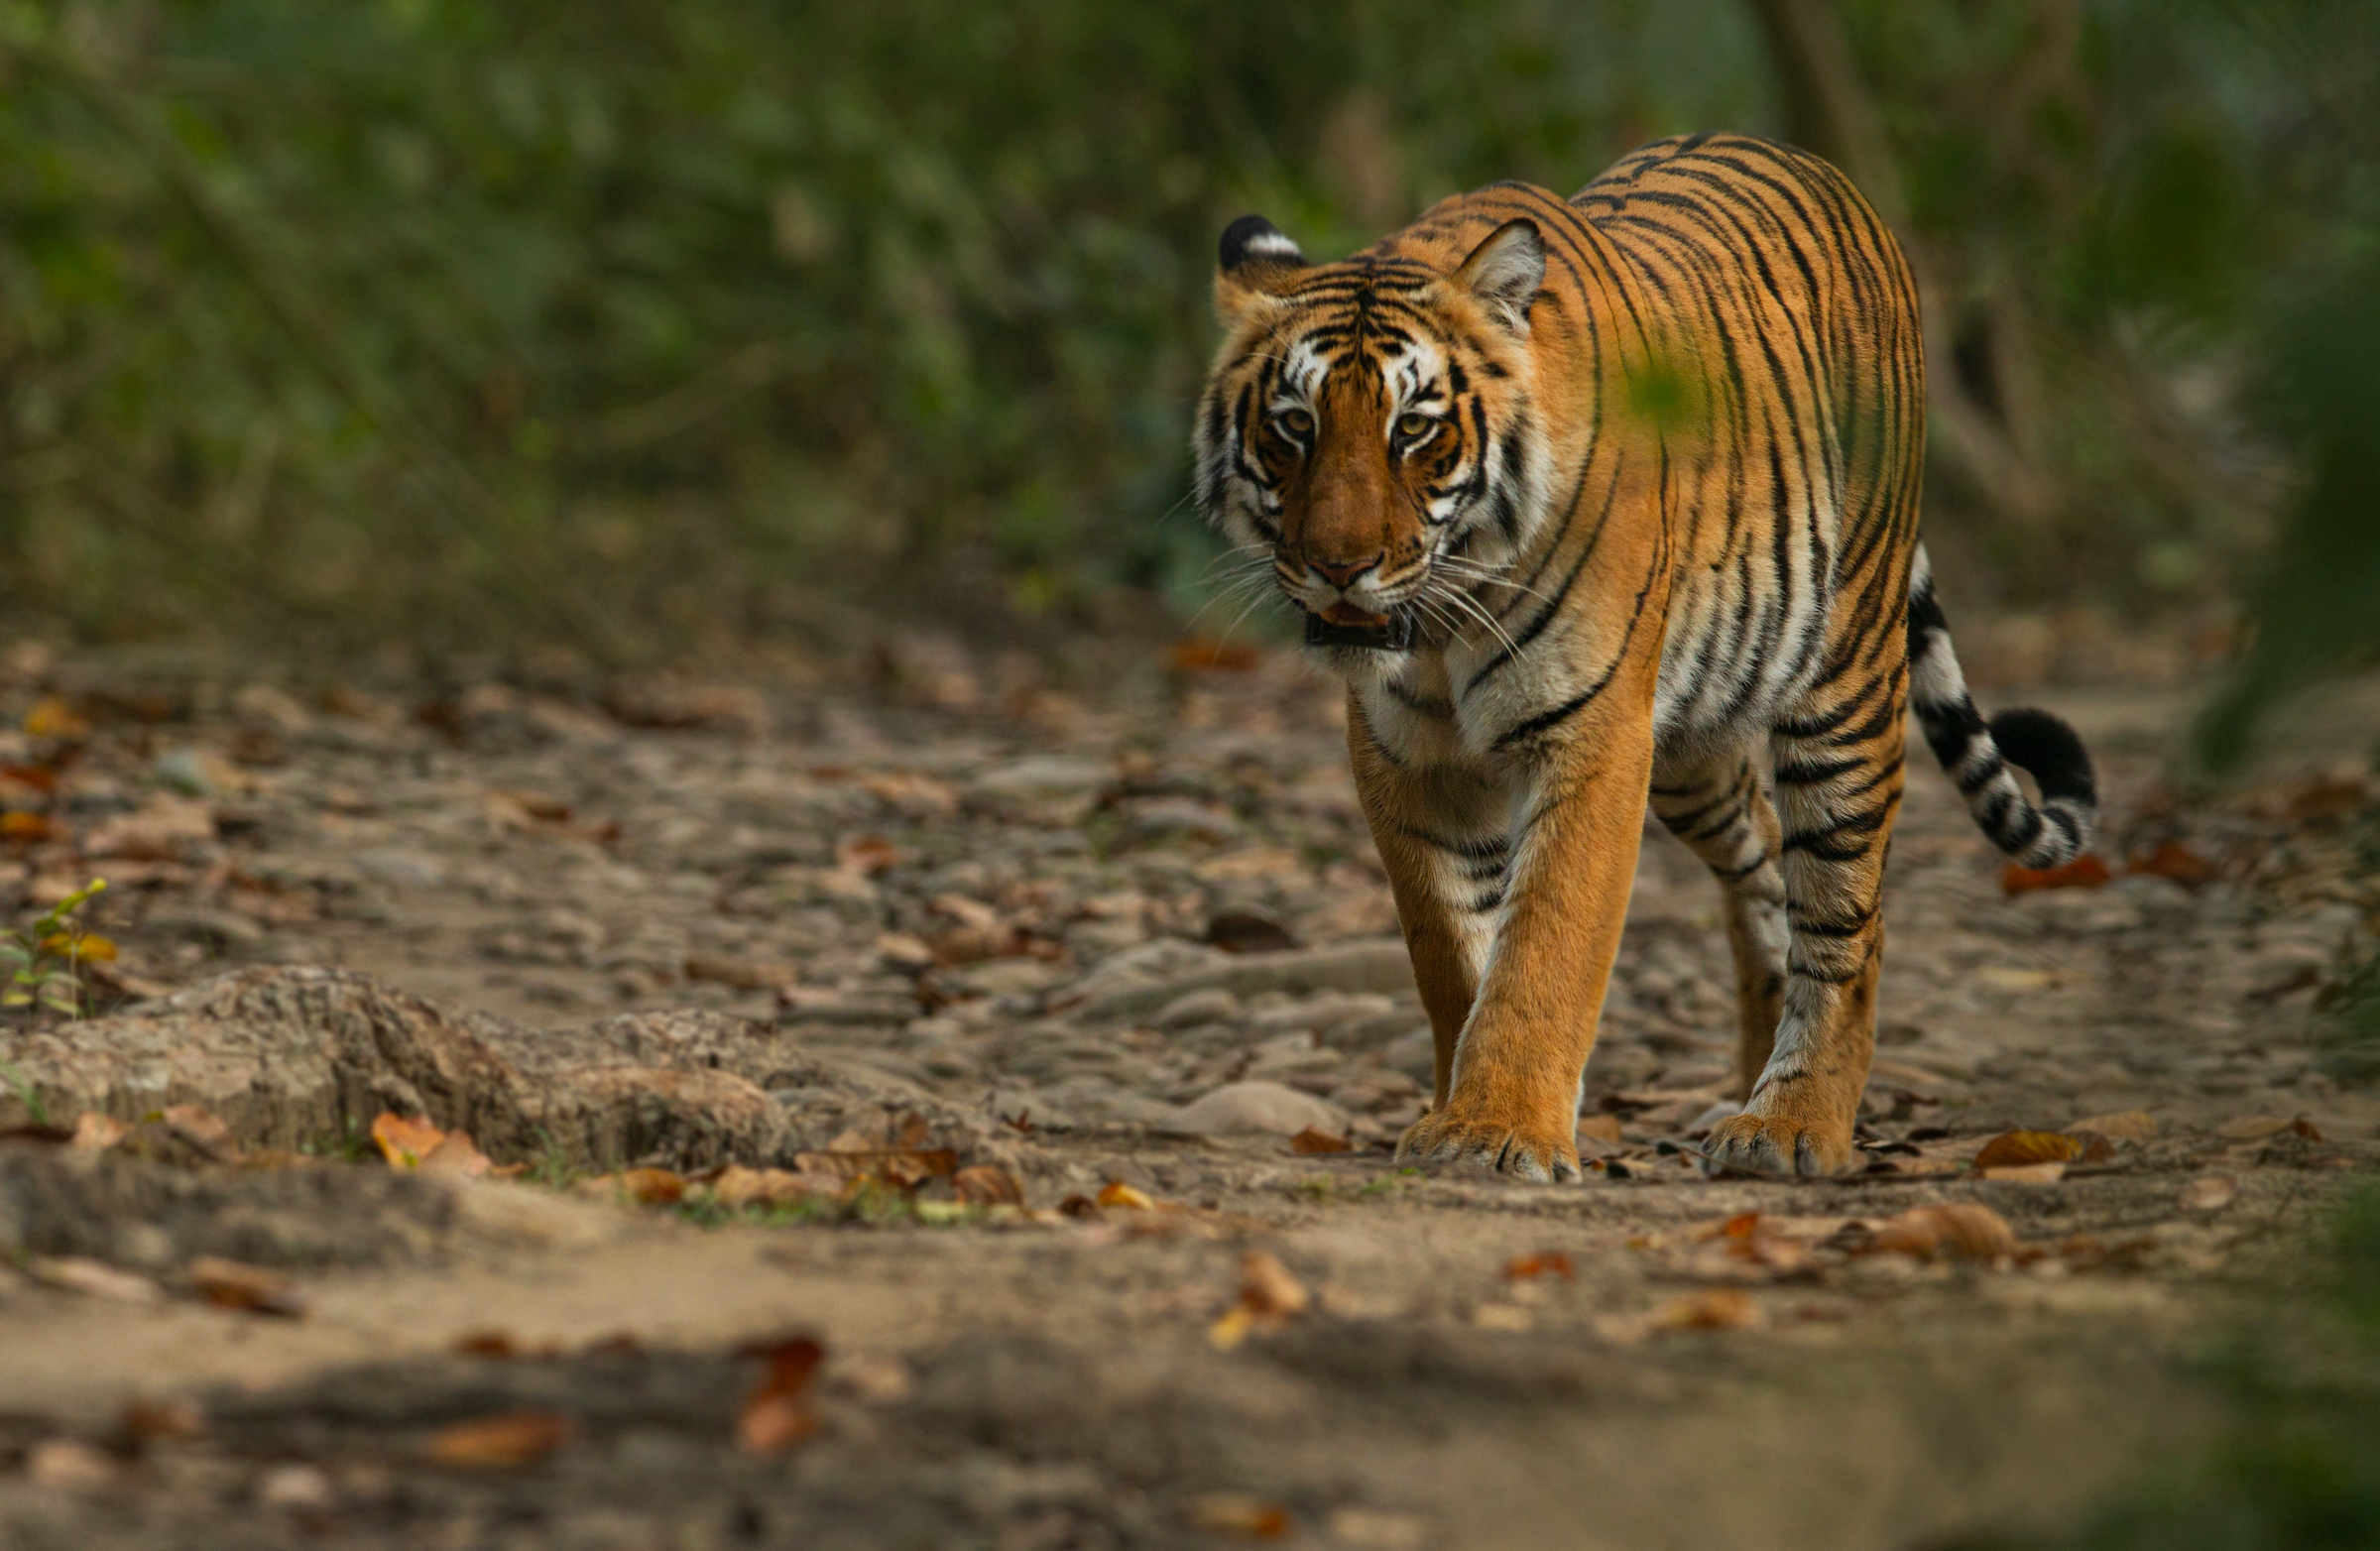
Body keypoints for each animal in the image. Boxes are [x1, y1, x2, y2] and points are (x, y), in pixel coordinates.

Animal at [1191, 133, 2097, 1180]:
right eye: (1293, 425)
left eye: (1412, 428)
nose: (1340, 567)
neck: (1446, 622)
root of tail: (1817, 170)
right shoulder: (1403, 758)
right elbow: (1451, 950)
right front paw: (1461, 1109)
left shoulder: (1591, 737)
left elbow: (1546, 943)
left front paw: (1500, 1128)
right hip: (1691, 744)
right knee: (1764, 865)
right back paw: (1741, 1085)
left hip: (1845, 683)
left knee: (1846, 924)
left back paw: (1791, 1127)